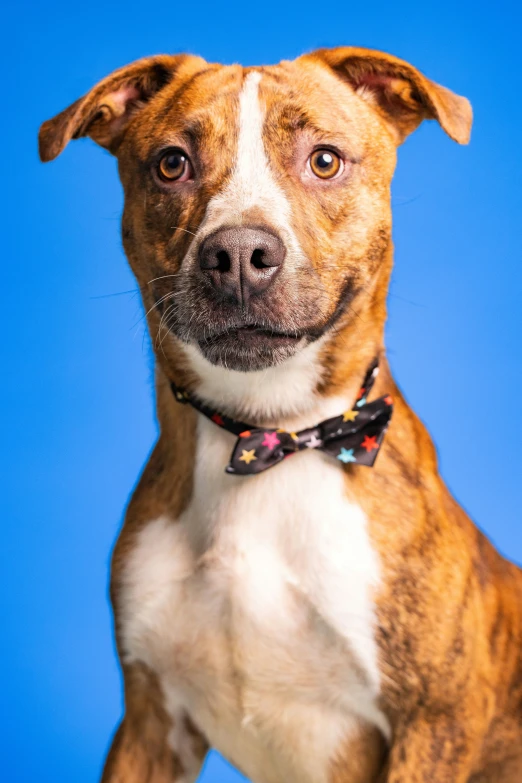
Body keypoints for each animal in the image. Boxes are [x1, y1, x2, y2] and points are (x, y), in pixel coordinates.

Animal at [37, 49, 520, 783]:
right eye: (172, 163)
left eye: (324, 160)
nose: (238, 253)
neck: (267, 434)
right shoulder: (149, 721)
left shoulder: (432, 725)